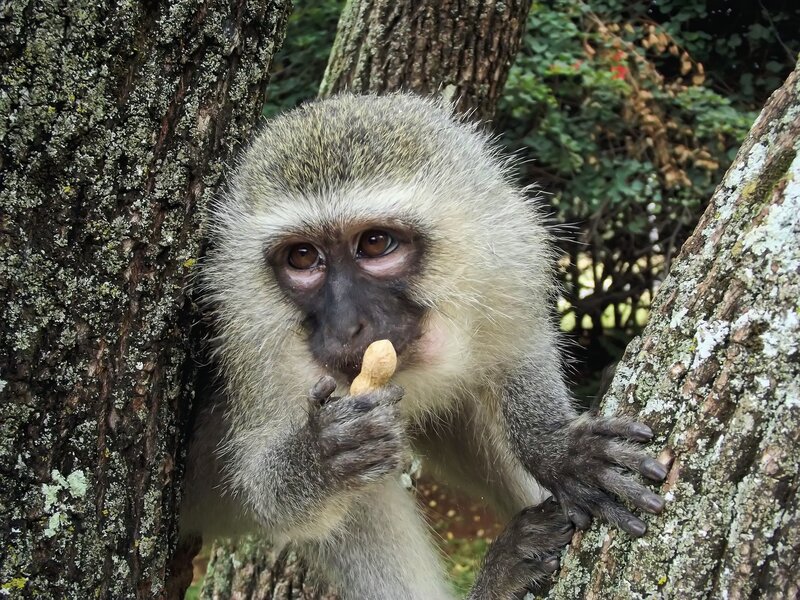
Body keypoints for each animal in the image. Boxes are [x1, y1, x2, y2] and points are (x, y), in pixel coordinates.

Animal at [180, 93, 667, 599]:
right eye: (302, 257)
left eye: (376, 243)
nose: (345, 326)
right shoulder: (253, 347)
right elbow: (265, 490)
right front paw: (320, 456)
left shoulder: (502, 262)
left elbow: (518, 350)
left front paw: (552, 447)